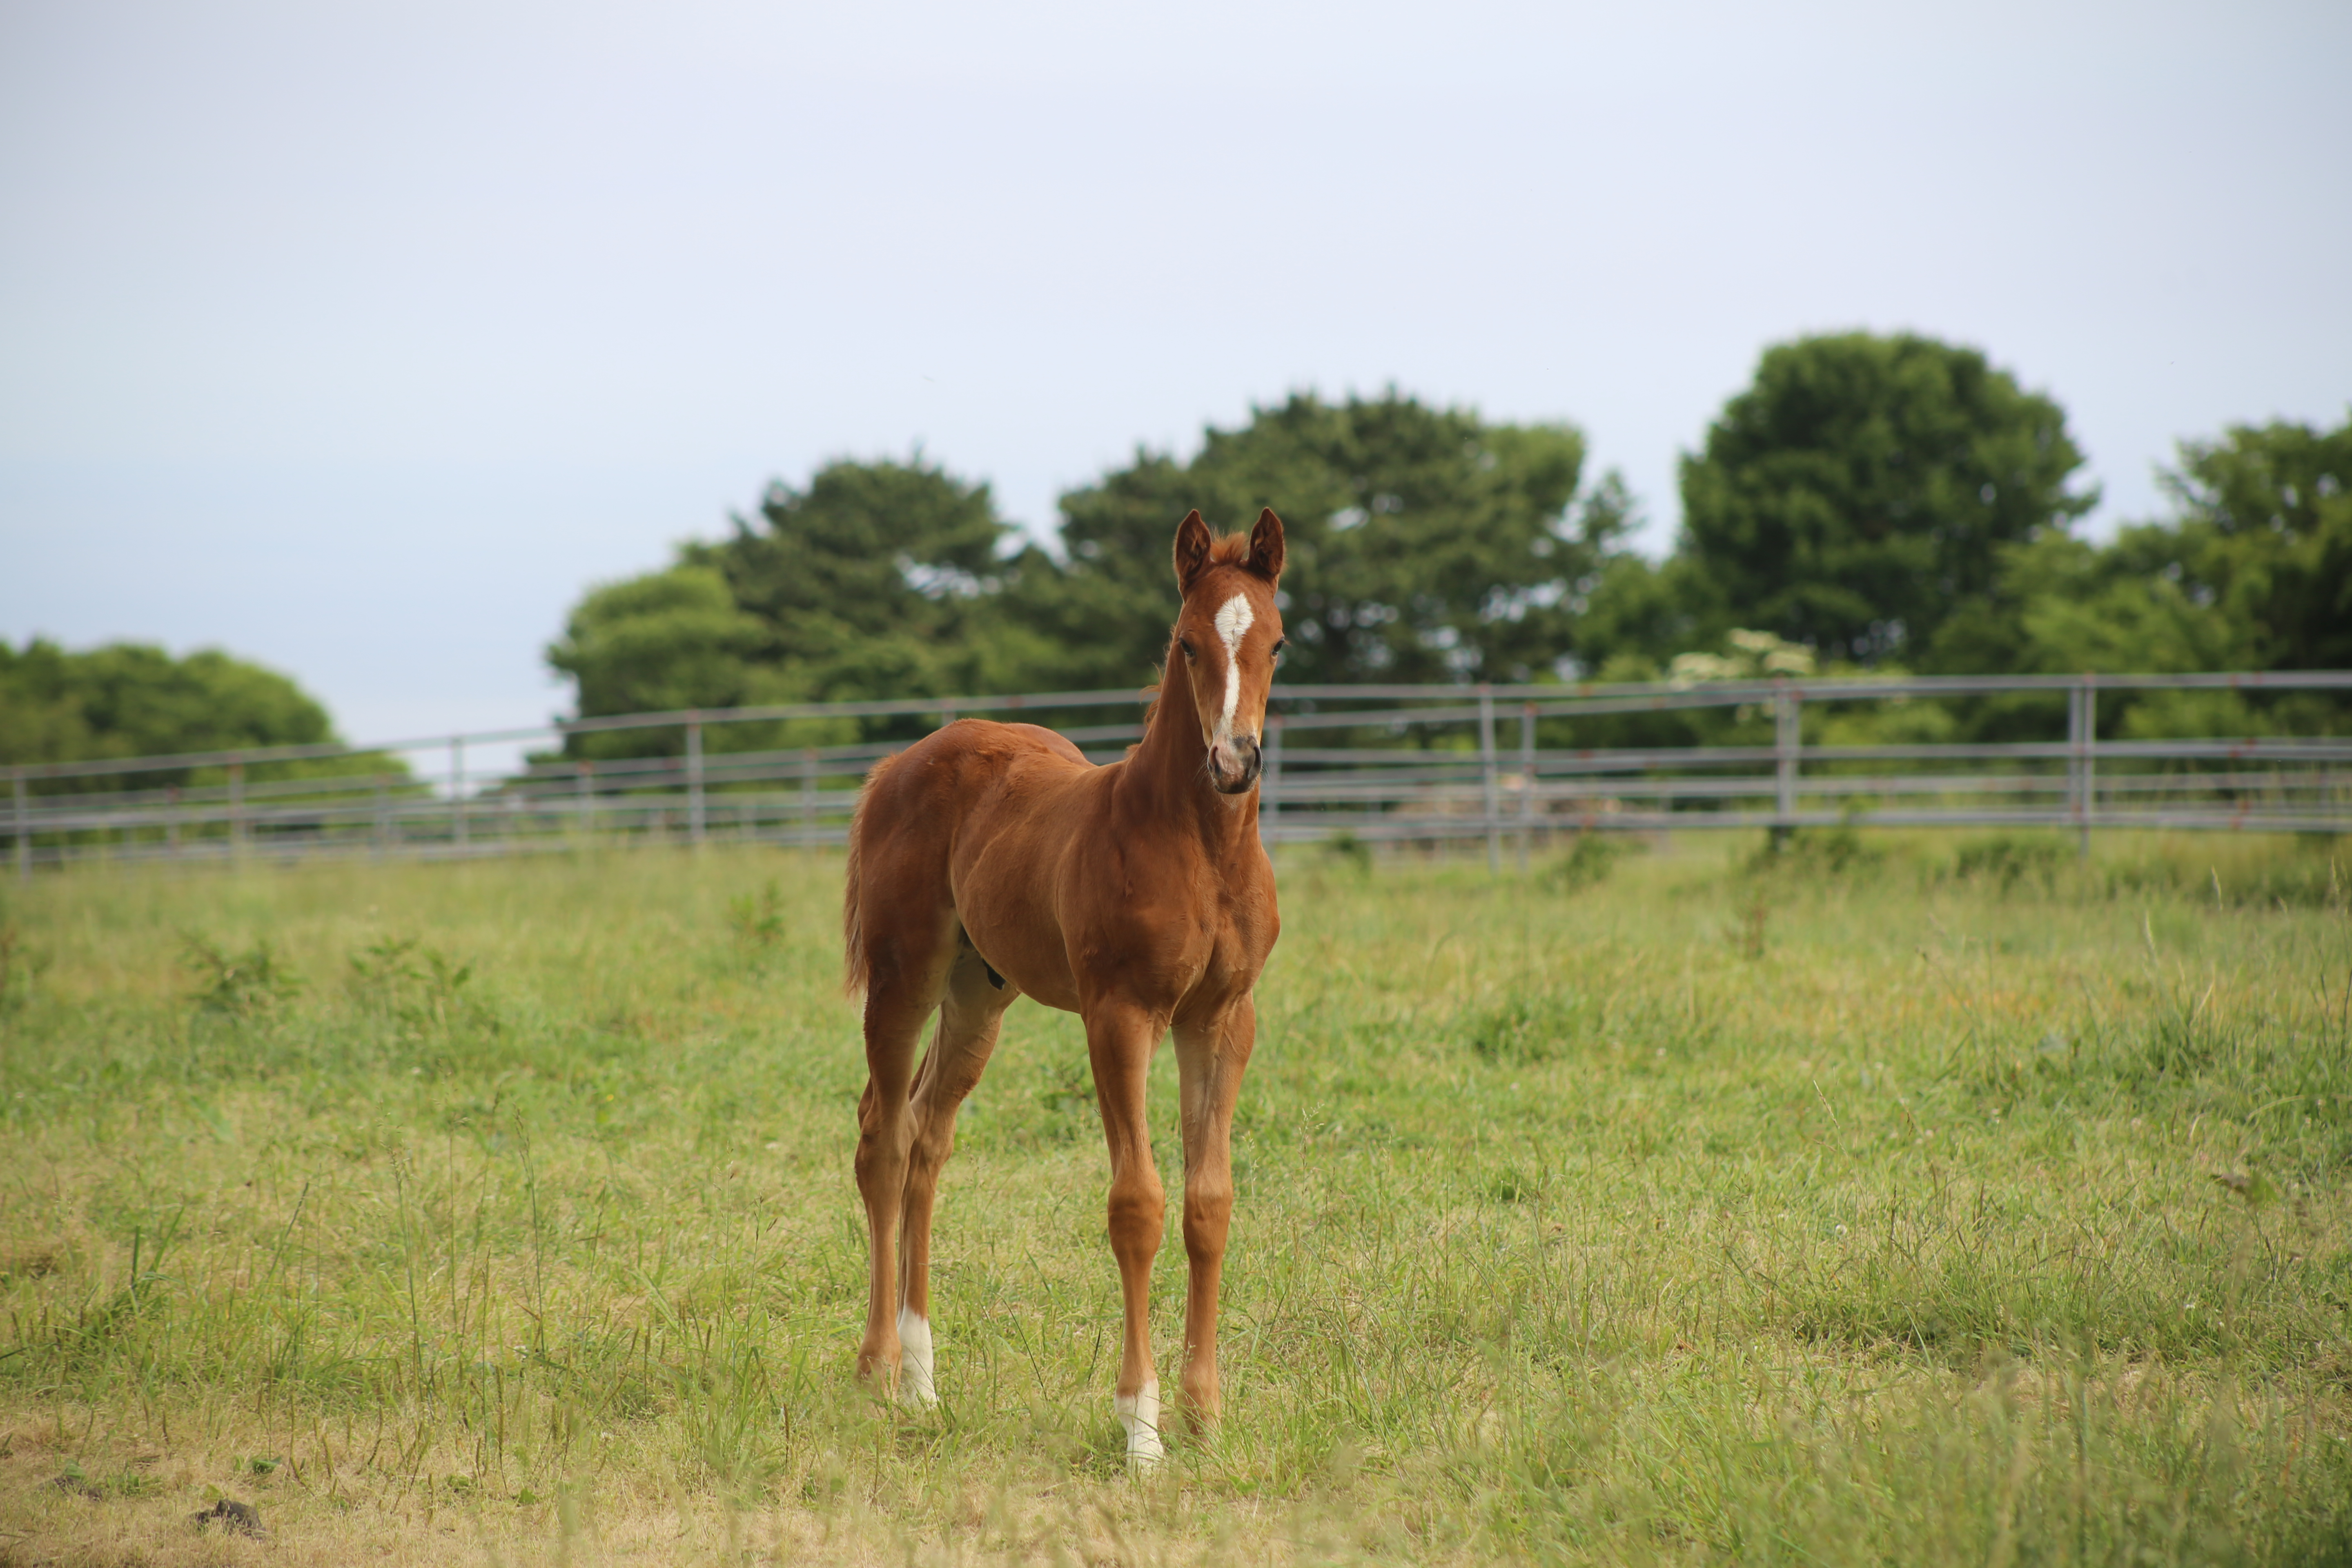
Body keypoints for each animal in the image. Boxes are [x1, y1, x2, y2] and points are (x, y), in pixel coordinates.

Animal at [846, 510, 1289, 1467]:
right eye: (1187, 643)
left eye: (1276, 641)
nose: (1234, 762)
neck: (1200, 846)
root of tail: (901, 761)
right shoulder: (1120, 1017)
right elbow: (1138, 1204)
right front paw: (1142, 1431)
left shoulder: (1222, 1021)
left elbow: (1209, 1203)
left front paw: (1207, 1418)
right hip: (904, 979)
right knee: (883, 1141)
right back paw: (878, 1374)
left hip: (979, 995)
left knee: (928, 1141)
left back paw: (925, 1382)